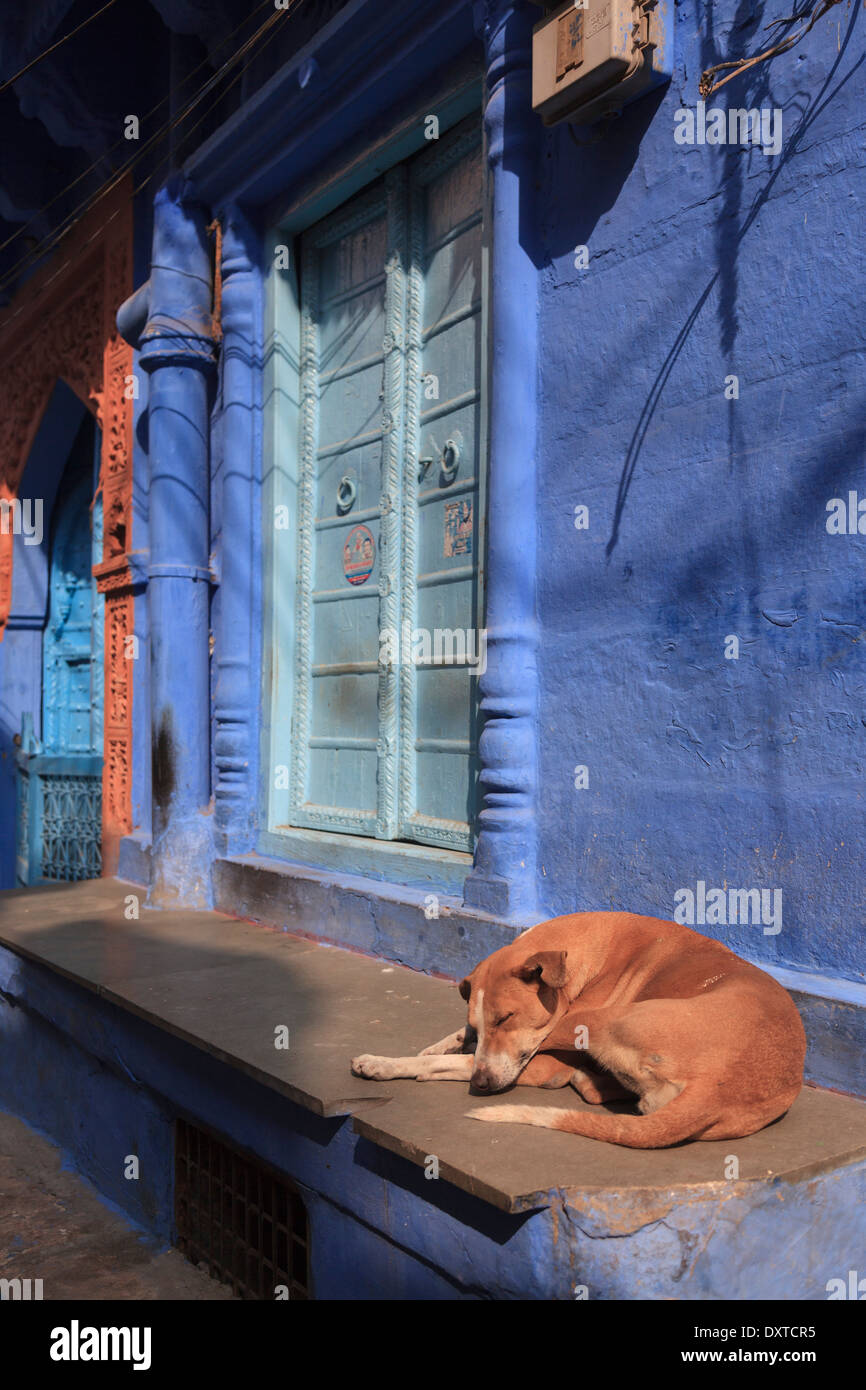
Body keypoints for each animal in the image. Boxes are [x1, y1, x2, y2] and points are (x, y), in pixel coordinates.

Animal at [348, 906, 811, 1145]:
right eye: (484, 1021)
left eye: (507, 1018)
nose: (482, 1086)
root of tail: (717, 1090)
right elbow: (462, 1043)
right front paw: (447, 1042)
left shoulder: (534, 1057)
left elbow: (450, 1063)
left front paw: (385, 1064)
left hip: (597, 1022)